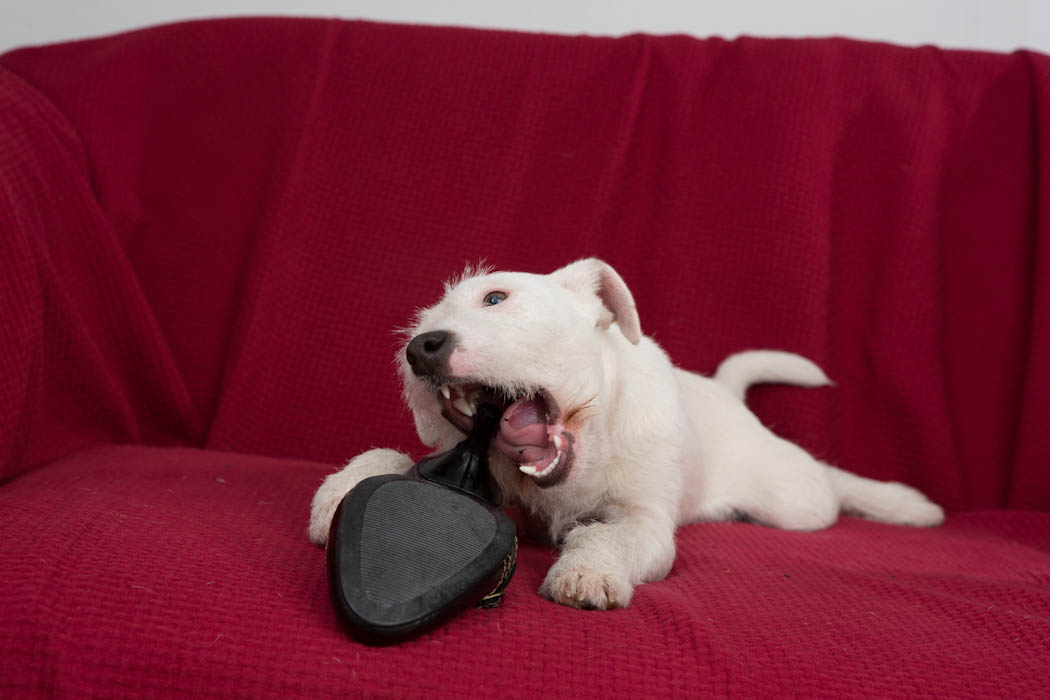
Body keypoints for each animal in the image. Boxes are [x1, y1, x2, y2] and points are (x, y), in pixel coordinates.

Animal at [306, 260, 944, 608]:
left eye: (496, 297)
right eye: (419, 325)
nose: (420, 348)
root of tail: (727, 395)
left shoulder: (647, 524)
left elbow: (611, 535)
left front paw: (588, 570)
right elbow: (390, 458)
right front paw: (340, 493)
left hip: (795, 502)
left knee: (829, 483)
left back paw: (902, 504)